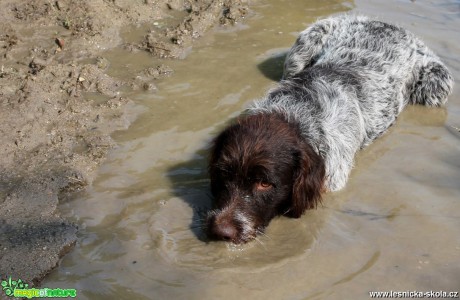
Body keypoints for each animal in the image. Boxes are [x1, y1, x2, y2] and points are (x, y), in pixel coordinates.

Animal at [205, 14, 452, 244]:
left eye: (264, 183)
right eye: (223, 174)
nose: (221, 232)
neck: (294, 114)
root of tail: (388, 24)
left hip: (437, 82)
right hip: (303, 46)